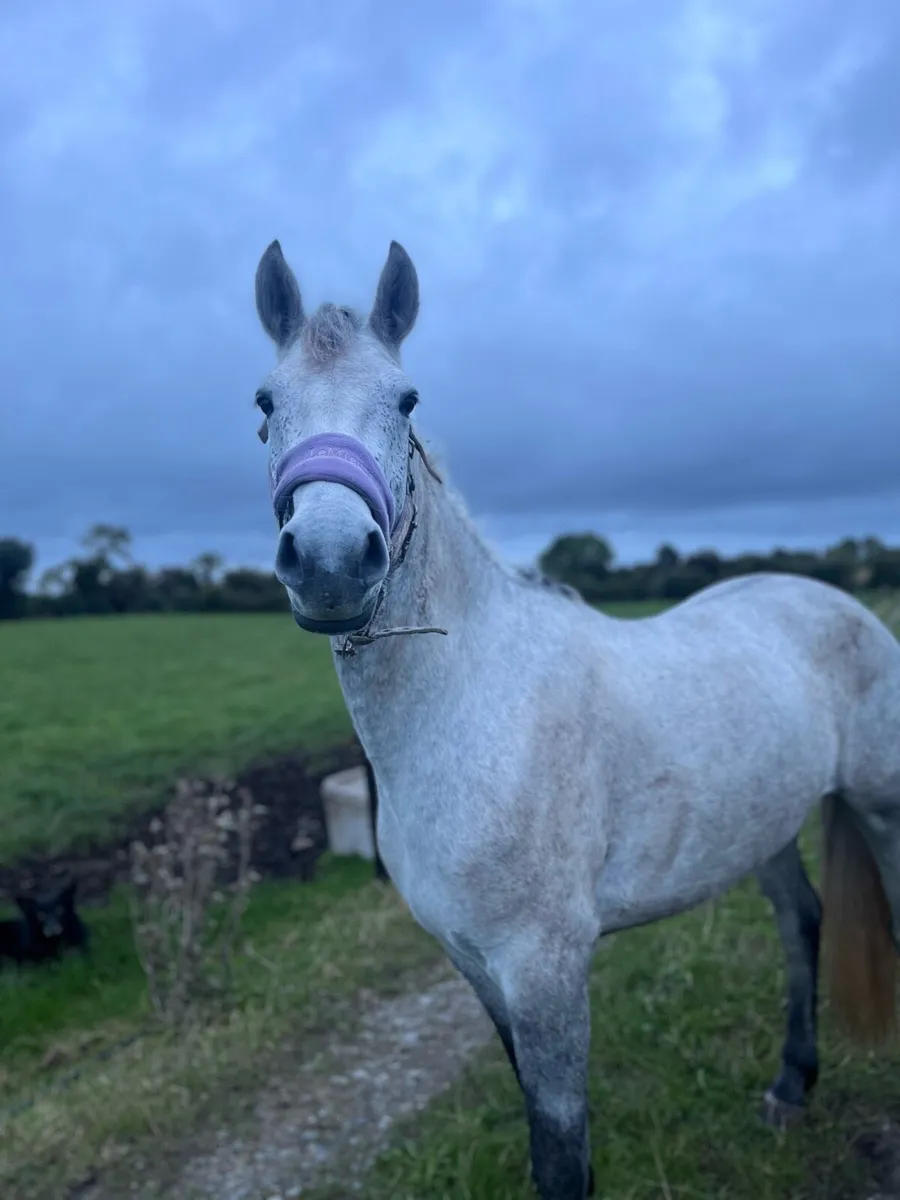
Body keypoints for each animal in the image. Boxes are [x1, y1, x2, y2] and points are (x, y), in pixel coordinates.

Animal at [249, 237, 900, 1199]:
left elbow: (561, 1156)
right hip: (762, 826)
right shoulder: (477, 968)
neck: (474, 712)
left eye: (407, 401)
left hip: (882, 809)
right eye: (265, 403)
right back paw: (791, 1085)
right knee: (802, 919)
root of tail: (835, 602)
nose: (331, 561)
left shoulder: (545, 969)